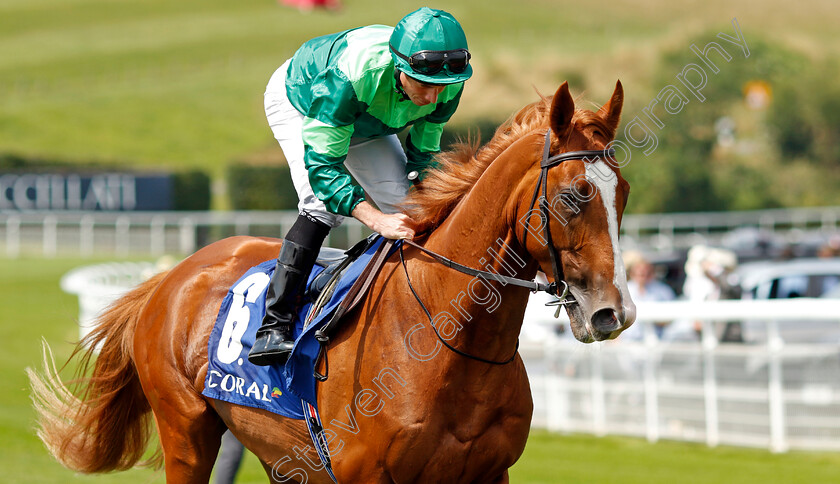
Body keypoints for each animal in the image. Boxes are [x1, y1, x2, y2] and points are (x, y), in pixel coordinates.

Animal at [31, 81, 636, 482]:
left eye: (623, 192)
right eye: (573, 195)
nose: (614, 313)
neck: (447, 345)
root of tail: (170, 277)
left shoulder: (488, 473)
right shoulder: (363, 476)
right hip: (186, 432)